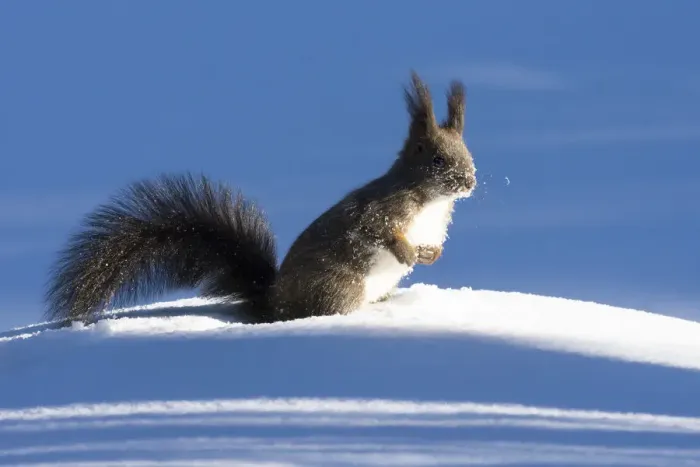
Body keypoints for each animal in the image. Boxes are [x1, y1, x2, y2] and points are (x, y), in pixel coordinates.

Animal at [43, 72, 477, 324]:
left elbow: (433, 244)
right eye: (437, 159)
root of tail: (273, 302)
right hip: (342, 286)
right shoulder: (384, 208)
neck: (430, 200)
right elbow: (377, 230)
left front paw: (430, 255)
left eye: (468, 153)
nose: (469, 182)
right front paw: (406, 253)